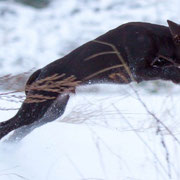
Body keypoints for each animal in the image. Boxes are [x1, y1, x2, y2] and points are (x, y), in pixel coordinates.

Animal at [0, 19, 180, 141]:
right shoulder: (138, 71)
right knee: (6, 127)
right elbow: (168, 70)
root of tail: (40, 71)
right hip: (35, 109)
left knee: (16, 134)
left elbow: (166, 67)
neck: (160, 39)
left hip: (50, 112)